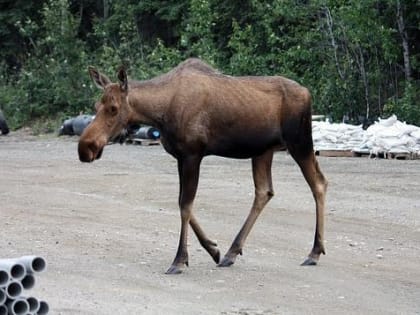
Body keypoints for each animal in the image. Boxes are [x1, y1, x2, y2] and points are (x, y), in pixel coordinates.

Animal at [79, 58, 328, 276]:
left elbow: (185, 205)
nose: (85, 147)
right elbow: (182, 203)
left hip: (300, 142)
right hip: (262, 151)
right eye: (95, 105)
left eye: (113, 108)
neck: (160, 113)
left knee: (319, 183)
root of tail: (308, 93)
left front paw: (179, 260)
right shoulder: (181, 157)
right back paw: (231, 252)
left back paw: (314, 252)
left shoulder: (192, 154)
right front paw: (213, 249)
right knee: (264, 191)